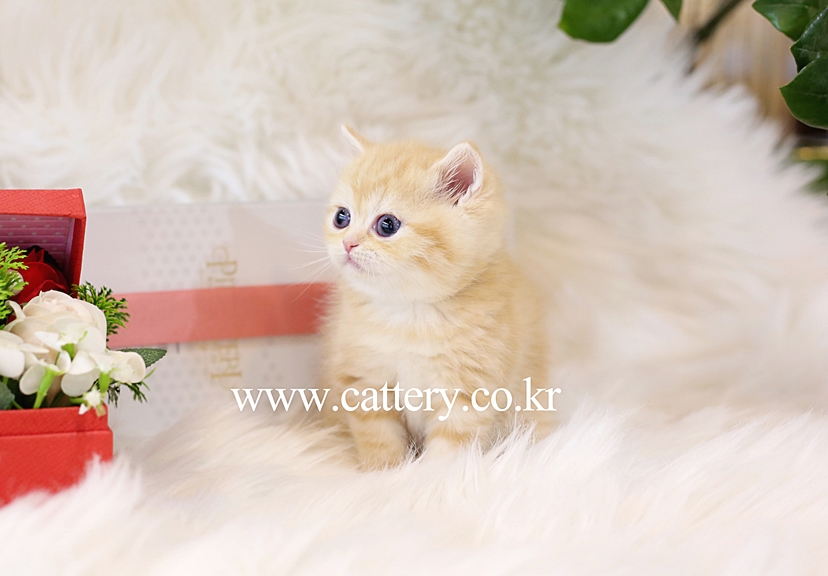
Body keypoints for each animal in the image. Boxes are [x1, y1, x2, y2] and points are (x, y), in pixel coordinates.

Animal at [321, 126, 550, 469]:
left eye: (387, 224)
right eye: (341, 217)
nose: (348, 243)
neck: (409, 314)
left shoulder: (469, 392)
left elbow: (449, 450)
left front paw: (431, 478)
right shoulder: (364, 381)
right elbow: (379, 437)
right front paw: (386, 472)